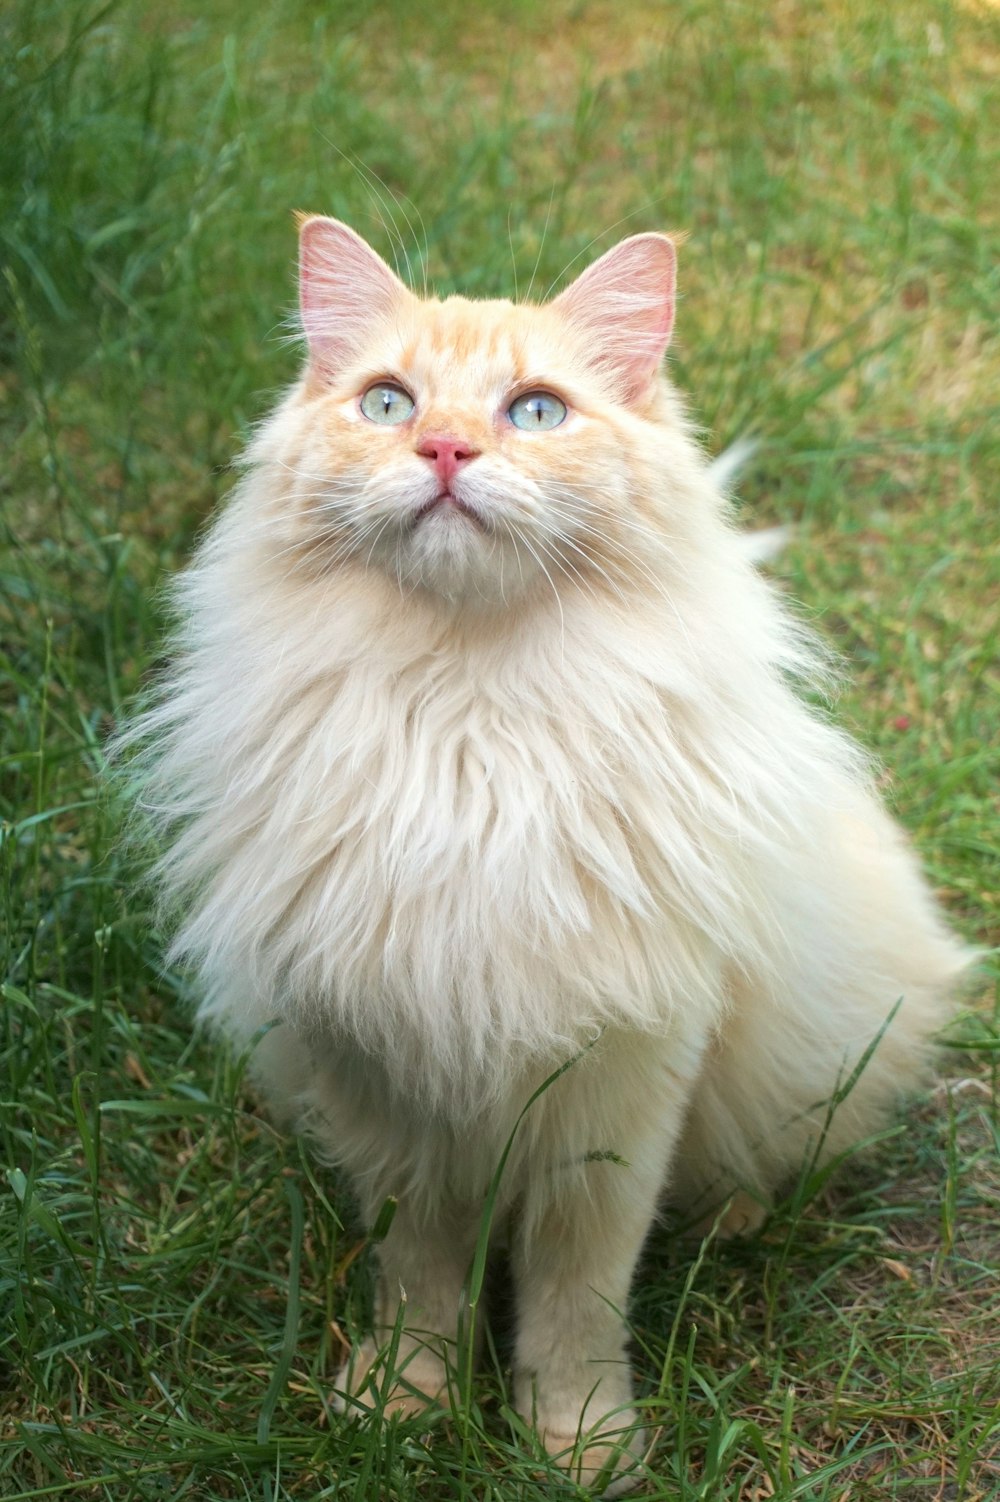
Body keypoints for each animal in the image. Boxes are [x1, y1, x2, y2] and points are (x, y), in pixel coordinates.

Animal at [128, 217, 966, 1495]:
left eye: (533, 411)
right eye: (386, 402)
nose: (444, 448)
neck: (467, 726)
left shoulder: (616, 1090)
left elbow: (576, 1297)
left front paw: (578, 1444)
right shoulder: (389, 1088)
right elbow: (420, 1281)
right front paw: (399, 1409)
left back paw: (730, 1217)